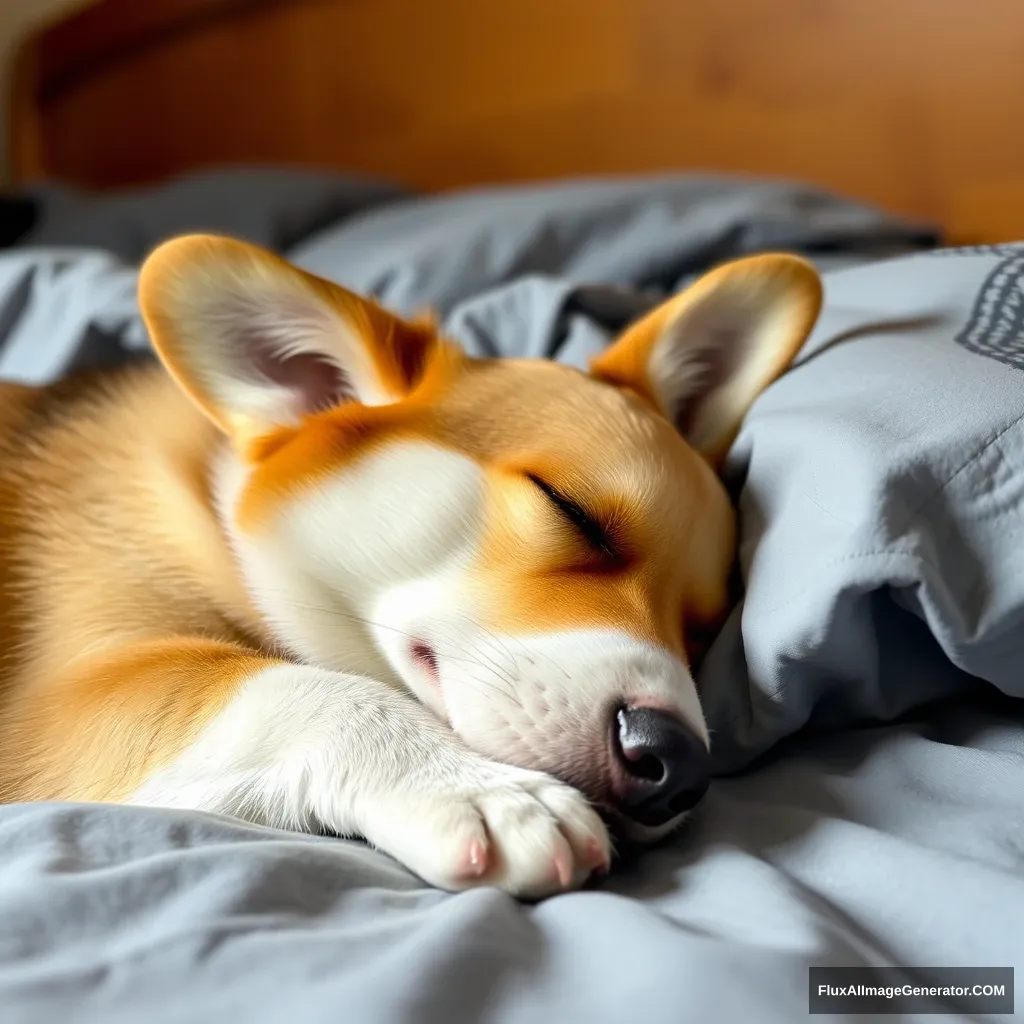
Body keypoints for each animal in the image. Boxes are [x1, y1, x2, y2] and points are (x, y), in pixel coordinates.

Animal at [0, 239, 815, 897]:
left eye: (703, 628)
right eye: (570, 510)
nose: (678, 764)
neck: (216, 509)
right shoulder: (65, 702)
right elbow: (310, 688)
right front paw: (482, 791)